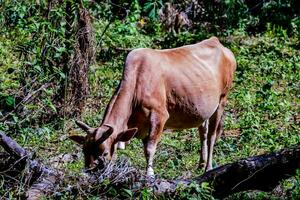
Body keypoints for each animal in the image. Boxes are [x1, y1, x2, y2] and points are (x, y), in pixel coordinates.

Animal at [70, 36, 237, 176]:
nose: (90, 171)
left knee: (212, 135)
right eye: (84, 151)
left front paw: (149, 174)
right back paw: (201, 164)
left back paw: (208, 167)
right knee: (203, 131)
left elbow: (149, 149)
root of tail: (217, 42)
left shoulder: (159, 116)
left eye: (104, 153)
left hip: (222, 100)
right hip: (203, 109)